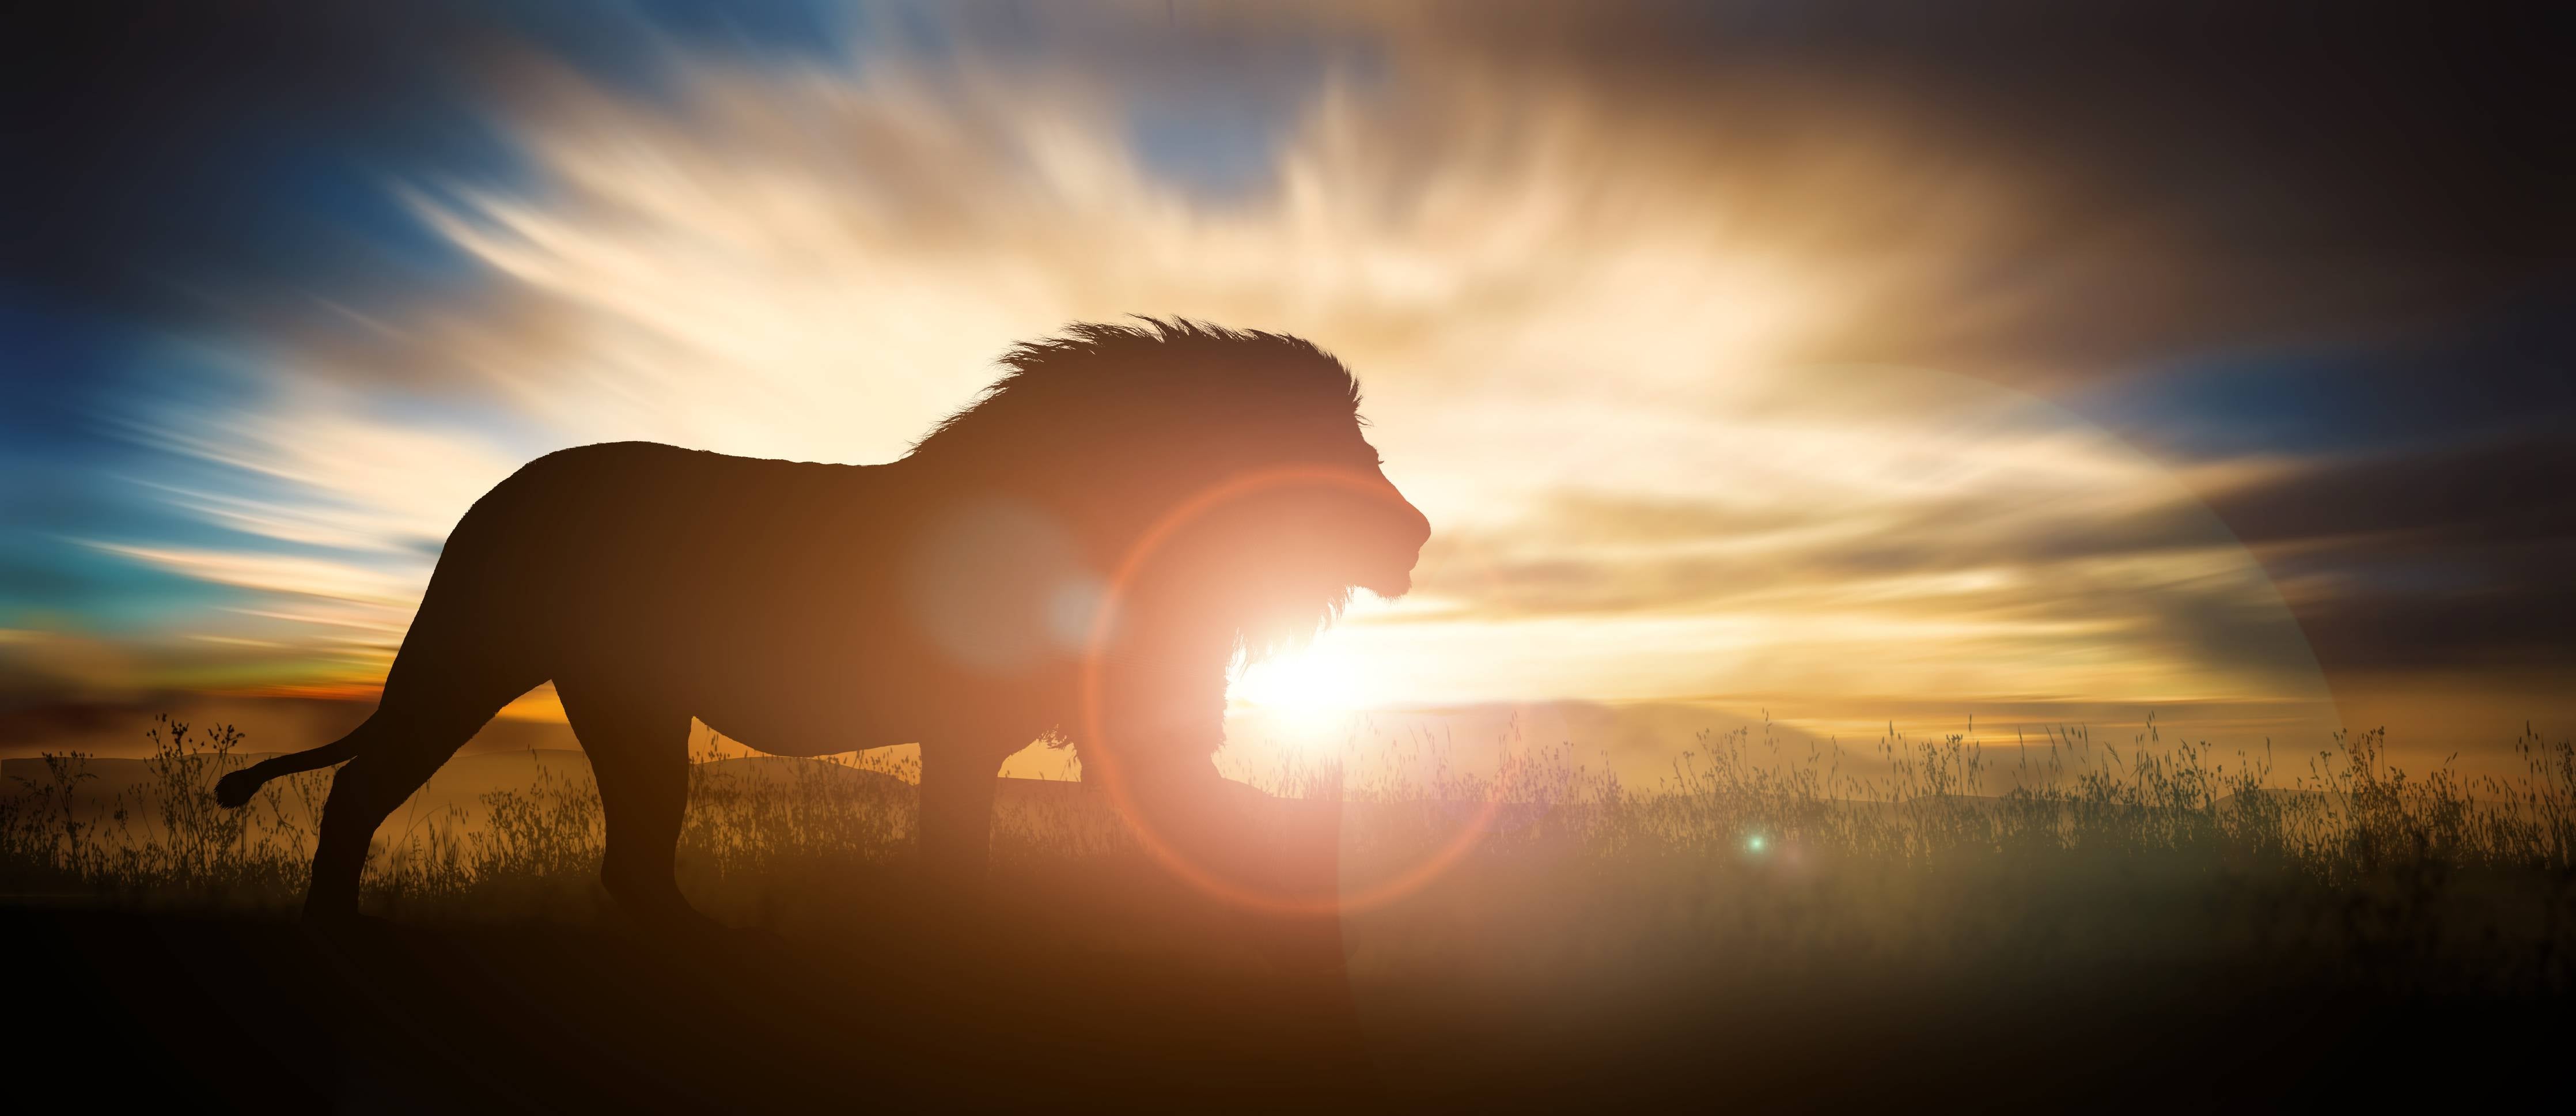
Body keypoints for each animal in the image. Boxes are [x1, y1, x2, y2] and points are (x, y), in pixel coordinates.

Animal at [216, 319, 1431, 929]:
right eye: (1333, 449)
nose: (1418, 533)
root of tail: (493, 495)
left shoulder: (1125, 740)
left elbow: (1235, 831)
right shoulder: (979, 731)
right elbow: (960, 852)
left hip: (622, 703)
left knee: (629, 863)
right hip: (480, 660)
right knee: (363, 787)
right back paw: (332, 936)